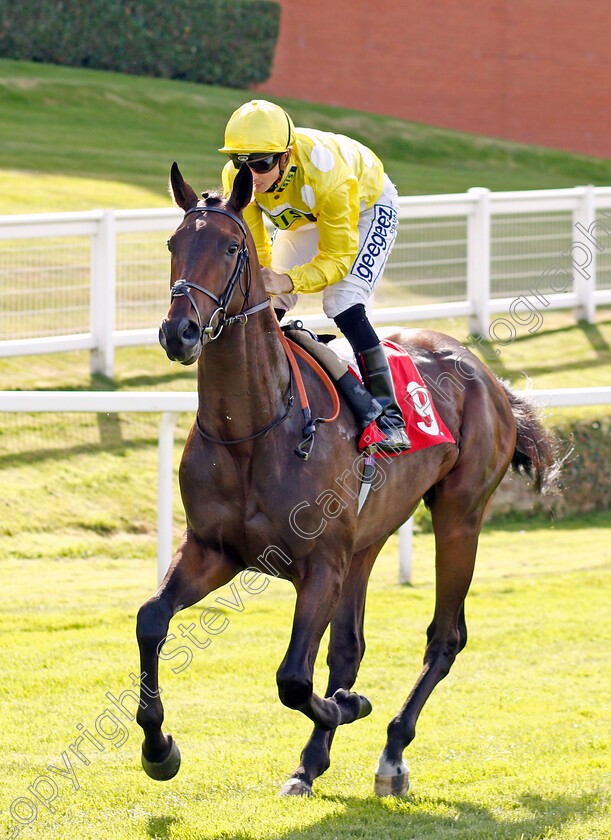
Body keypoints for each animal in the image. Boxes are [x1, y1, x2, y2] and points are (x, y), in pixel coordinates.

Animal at [136, 161, 560, 796]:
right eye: (172, 244)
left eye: (233, 247)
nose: (179, 333)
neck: (256, 428)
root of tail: (484, 373)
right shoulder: (213, 549)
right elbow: (151, 620)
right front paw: (159, 748)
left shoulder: (320, 566)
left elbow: (292, 677)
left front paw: (350, 706)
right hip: (367, 539)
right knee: (349, 647)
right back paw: (311, 761)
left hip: (459, 515)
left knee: (445, 638)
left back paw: (391, 752)